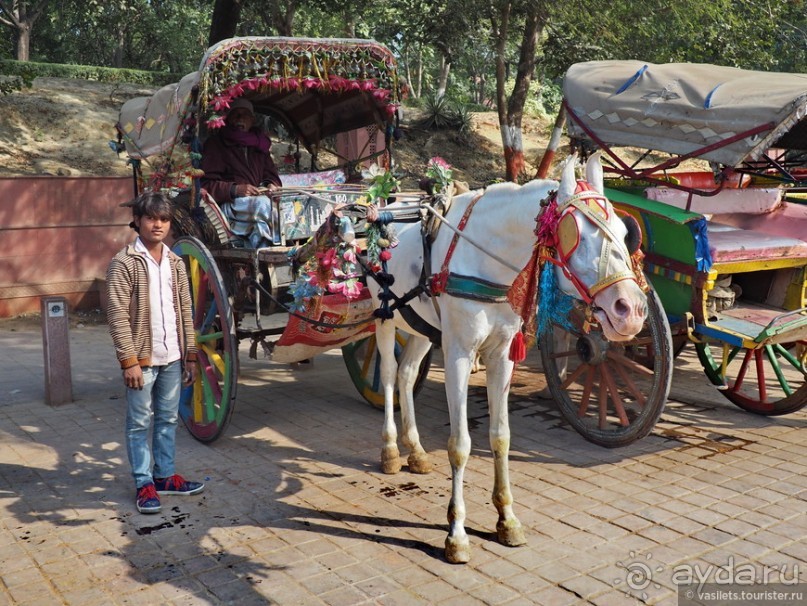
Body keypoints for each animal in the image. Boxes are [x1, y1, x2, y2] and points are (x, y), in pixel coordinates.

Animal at [370, 153, 648, 564]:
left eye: (622, 230)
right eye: (577, 235)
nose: (630, 309)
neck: (487, 260)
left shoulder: (502, 354)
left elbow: (500, 437)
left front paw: (507, 519)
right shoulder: (458, 353)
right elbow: (460, 445)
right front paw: (456, 534)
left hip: (421, 326)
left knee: (406, 375)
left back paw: (416, 451)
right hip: (386, 316)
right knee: (389, 376)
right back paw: (390, 448)